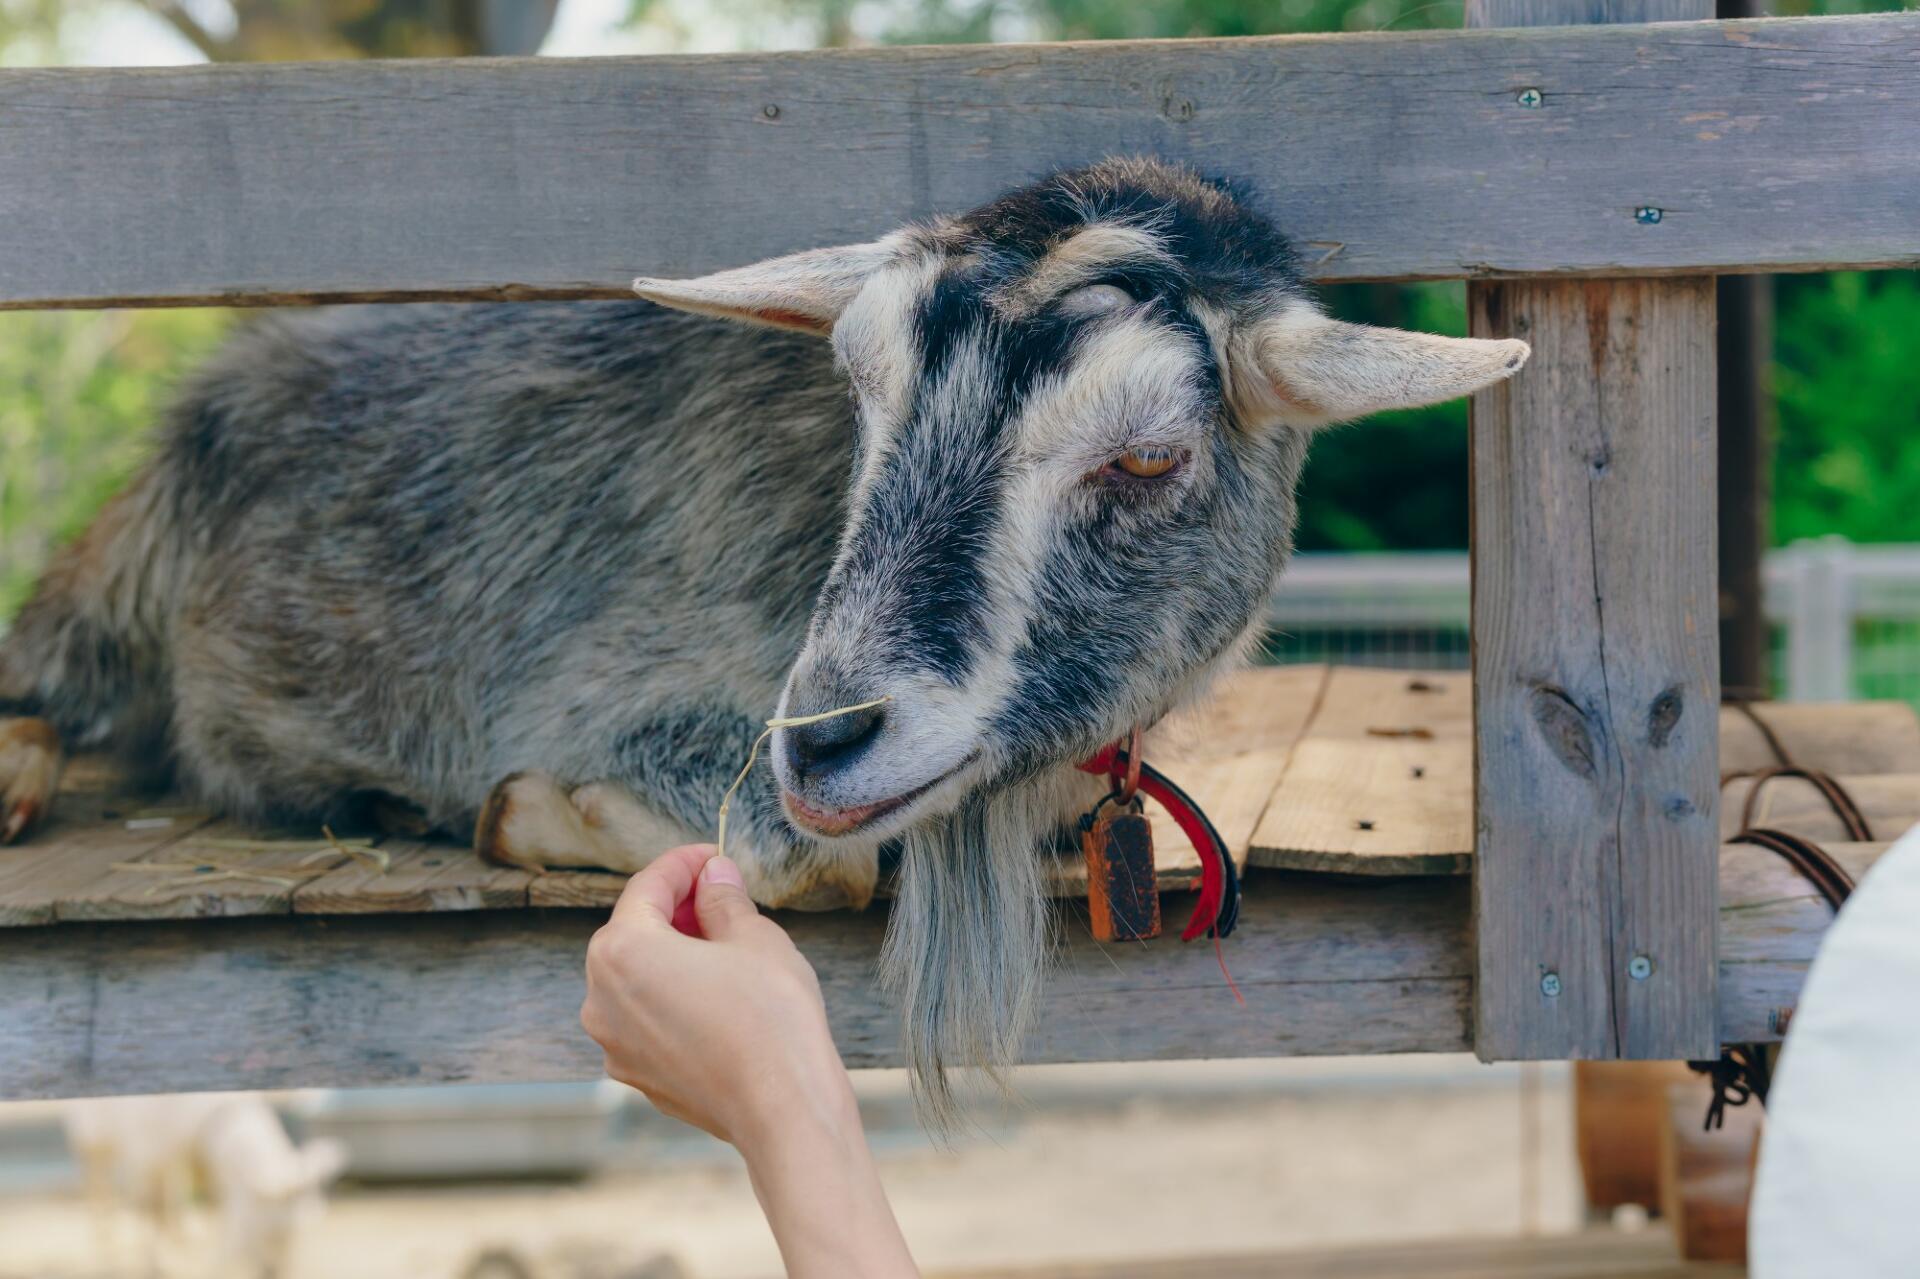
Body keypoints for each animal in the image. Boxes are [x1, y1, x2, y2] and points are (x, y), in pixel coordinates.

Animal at [3, 156, 1528, 1113]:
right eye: (861, 396)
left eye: (1149, 458)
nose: (826, 734)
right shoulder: (609, 683)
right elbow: (808, 855)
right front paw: (527, 809)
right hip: (107, 584)